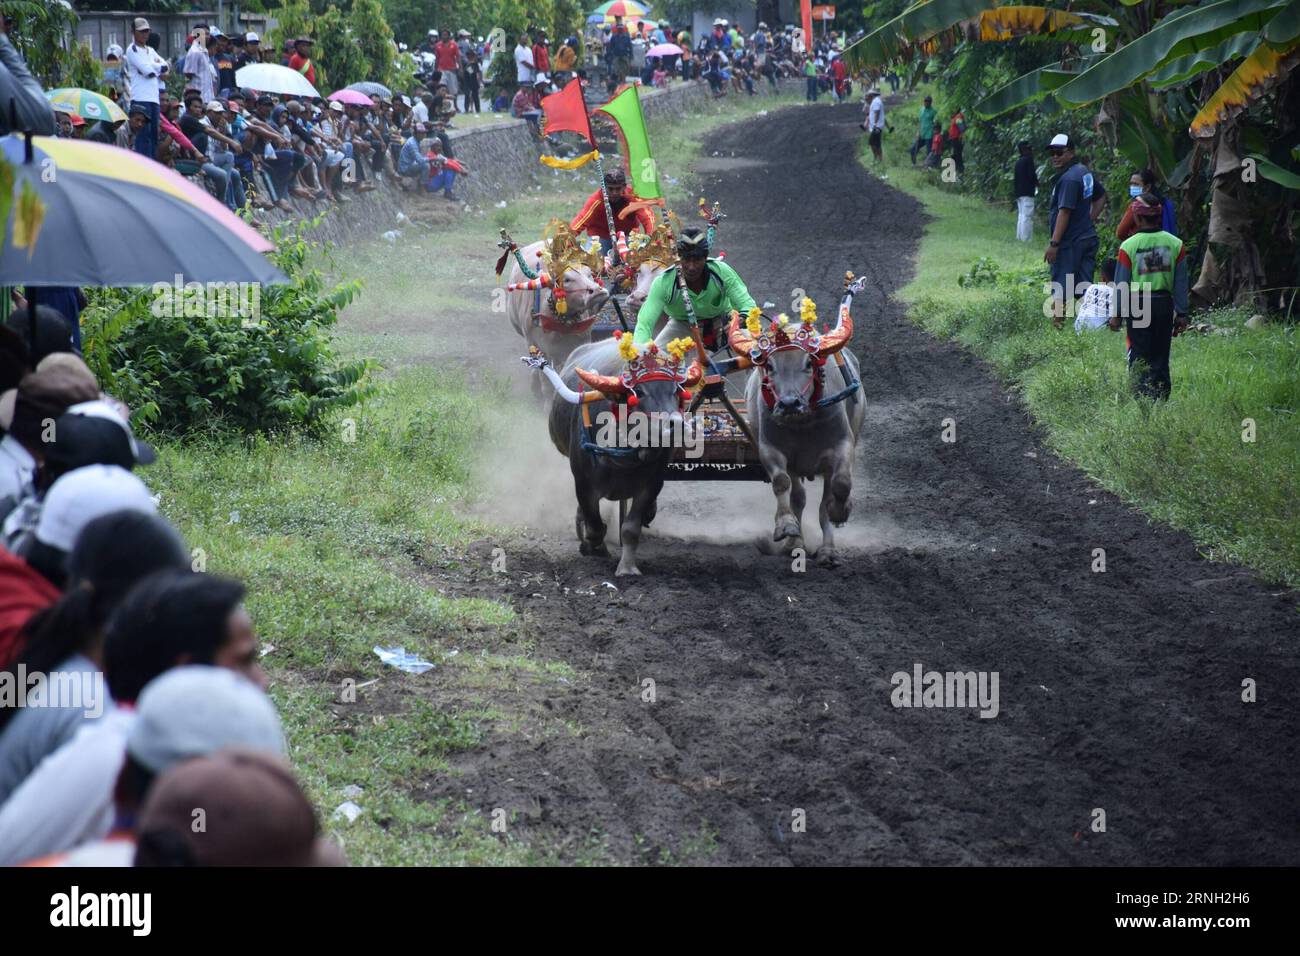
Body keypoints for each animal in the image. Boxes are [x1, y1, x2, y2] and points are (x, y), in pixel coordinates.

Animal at [522, 335, 702, 574]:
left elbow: (630, 529)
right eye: (639, 393)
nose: (677, 425)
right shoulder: (583, 482)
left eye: (676, 390)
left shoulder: (652, 484)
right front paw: (593, 547)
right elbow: (595, 526)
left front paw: (627, 568)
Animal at [728, 273, 868, 564]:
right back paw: (796, 543)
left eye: (808, 363)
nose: (789, 403)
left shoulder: (843, 445)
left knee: (823, 500)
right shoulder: (771, 449)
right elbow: (782, 485)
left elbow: (840, 485)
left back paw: (827, 550)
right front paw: (786, 528)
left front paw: (841, 512)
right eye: (770, 366)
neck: (803, 425)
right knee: (799, 498)